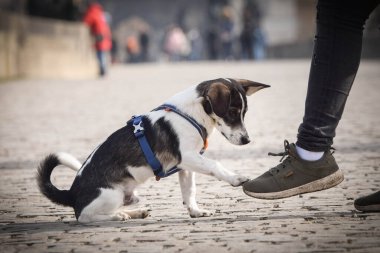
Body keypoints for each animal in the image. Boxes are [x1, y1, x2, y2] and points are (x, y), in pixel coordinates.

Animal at [35, 78, 268, 222]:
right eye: (232, 112)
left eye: (243, 113)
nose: (247, 140)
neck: (190, 114)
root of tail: (71, 193)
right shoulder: (188, 157)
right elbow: (215, 165)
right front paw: (236, 178)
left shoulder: (186, 166)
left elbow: (189, 191)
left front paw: (196, 212)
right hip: (111, 195)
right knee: (84, 216)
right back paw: (118, 216)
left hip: (129, 196)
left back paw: (136, 213)